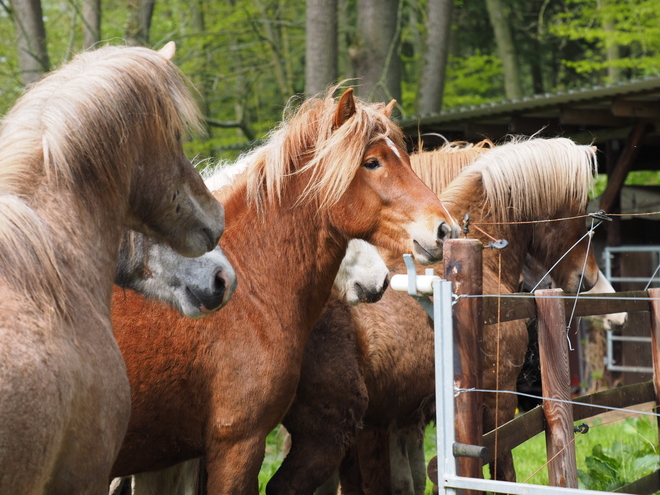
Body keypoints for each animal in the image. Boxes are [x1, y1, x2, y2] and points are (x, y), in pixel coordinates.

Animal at [264, 137, 604, 495]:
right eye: (580, 206)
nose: (588, 277)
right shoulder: (498, 399)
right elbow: (502, 473)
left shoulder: (406, 417)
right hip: (328, 436)